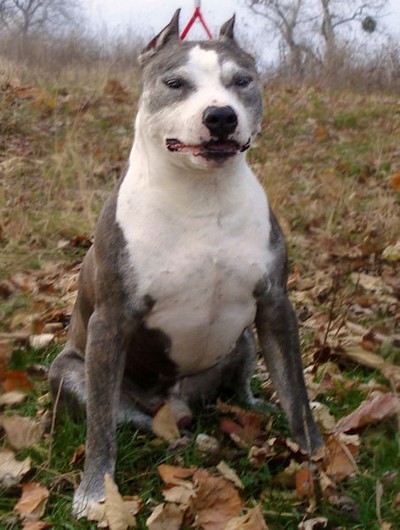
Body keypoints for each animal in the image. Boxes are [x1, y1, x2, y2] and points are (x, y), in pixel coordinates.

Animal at [48, 10, 322, 516]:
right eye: (175, 83)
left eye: (242, 81)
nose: (221, 116)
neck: (202, 196)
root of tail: (176, 400)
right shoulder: (111, 321)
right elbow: (100, 427)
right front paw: (95, 489)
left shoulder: (275, 306)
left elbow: (296, 388)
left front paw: (317, 451)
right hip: (72, 370)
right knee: (125, 417)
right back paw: (179, 438)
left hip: (242, 342)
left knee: (240, 387)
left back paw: (255, 407)